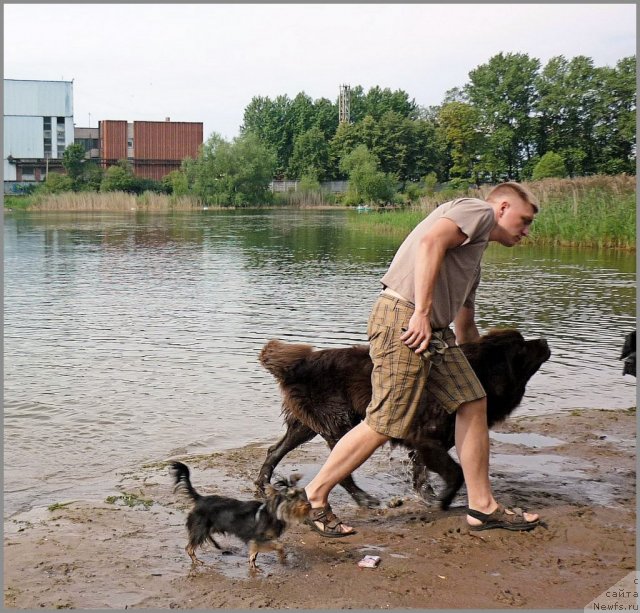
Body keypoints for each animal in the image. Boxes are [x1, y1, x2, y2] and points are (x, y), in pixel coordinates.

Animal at [170, 462, 310, 572]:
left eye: (301, 494)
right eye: (291, 497)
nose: (308, 504)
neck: (274, 513)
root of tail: (200, 499)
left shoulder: (255, 541)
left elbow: (253, 555)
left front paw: (254, 567)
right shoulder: (259, 539)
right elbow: (279, 546)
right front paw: (281, 557)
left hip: (205, 529)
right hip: (200, 529)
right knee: (189, 548)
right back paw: (197, 561)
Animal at [258, 328, 548, 510]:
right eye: (521, 347)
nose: (545, 341)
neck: (480, 372)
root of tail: (299, 363)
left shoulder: (427, 443)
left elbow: (422, 475)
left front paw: (428, 497)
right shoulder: (424, 438)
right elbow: (455, 473)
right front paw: (442, 501)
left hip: (306, 426)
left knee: (274, 451)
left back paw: (263, 485)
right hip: (339, 423)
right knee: (341, 471)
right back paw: (364, 500)